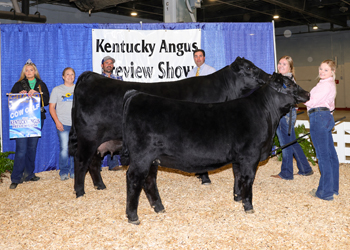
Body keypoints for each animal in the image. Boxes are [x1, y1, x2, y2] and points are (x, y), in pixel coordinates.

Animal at [69, 56, 270, 197]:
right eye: (249, 68)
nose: (269, 75)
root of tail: (91, 76)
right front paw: (204, 177)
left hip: (100, 141)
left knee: (93, 163)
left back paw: (100, 186)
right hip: (89, 136)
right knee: (81, 161)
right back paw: (80, 191)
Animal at [120, 72, 308, 225]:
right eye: (290, 84)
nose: (307, 93)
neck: (265, 113)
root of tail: (136, 95)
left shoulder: (239, 158)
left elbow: (238, 176)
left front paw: (237, 198)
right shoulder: (250, 155)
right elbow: (248, 179)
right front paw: (248, 206)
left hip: (153, 159)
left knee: (149, 180)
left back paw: (159, 207)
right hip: (142, 156)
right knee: (134, 178)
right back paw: (133, 216)